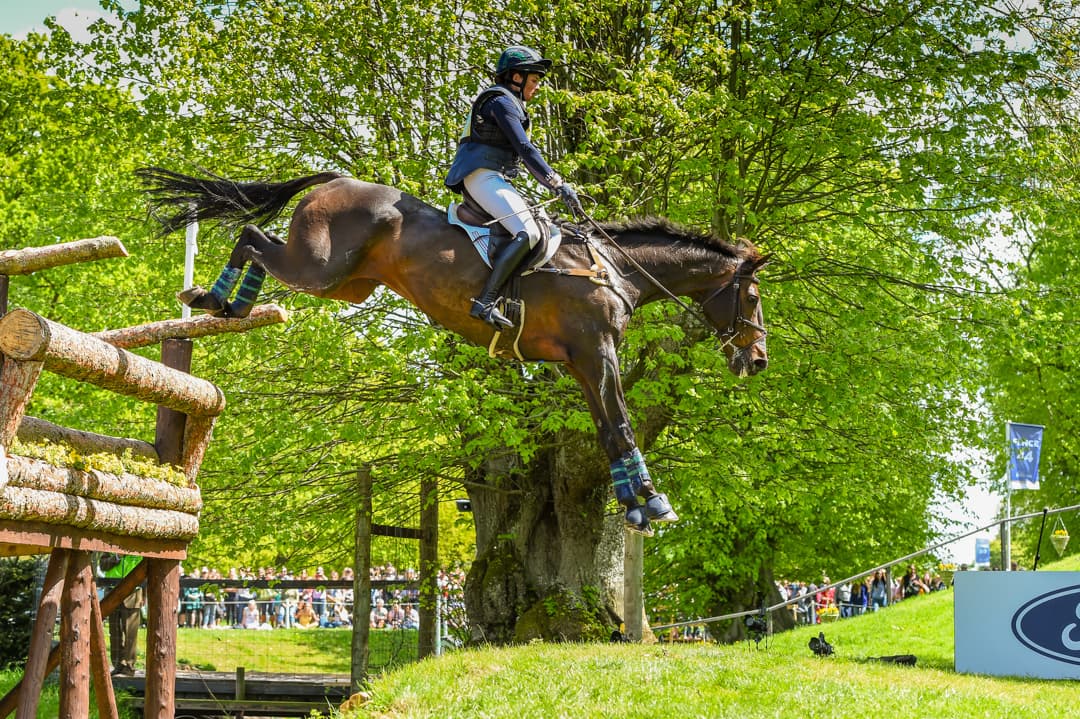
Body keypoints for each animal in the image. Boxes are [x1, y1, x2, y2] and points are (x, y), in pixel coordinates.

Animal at [137, 167, 769, 535]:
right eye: (754, 295)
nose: (758, 361)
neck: (614, 269)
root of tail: (338, 181)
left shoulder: (583, 363)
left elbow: (610, 429)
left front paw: (635, 503)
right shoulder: (596, 353)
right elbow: (621, 425)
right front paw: (652, 504)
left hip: (346, 284)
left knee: (259, 243)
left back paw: (229, 305)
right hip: (319, 267)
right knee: (252, 240)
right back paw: (214, 299)